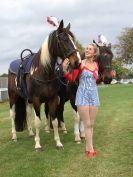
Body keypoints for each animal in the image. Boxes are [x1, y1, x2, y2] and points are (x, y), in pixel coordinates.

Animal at [8, 20, 81, 150]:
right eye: (64, 39)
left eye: (73, 39)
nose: (77, 62)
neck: (43, 72)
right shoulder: (36, 100)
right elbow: (38, 122)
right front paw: (37, 145)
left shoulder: (53, 99)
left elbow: (55, 120)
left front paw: (58, 142)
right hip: (13, 97)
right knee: (12, 115)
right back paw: (14, 136)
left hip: (27, 100)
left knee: (28, 113)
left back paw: (30, 133)